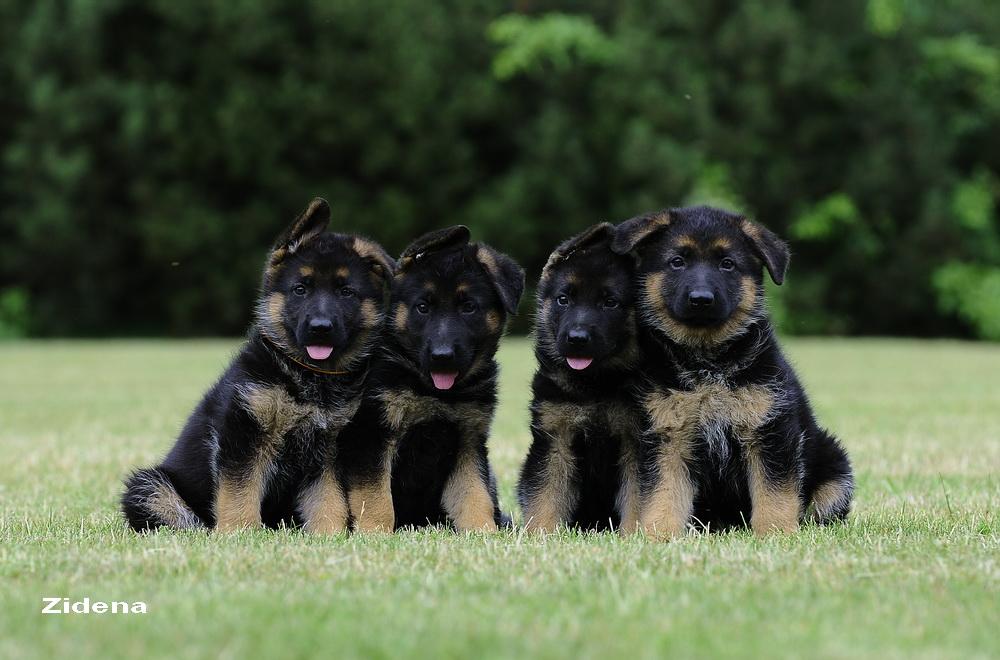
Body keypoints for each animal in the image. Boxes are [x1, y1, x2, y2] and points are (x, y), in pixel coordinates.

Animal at [121, 199, 394, 532]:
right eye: (300, 289)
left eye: (346, 292)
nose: (320, 328)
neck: (308, 375)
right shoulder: (243, 434)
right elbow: (240, 492)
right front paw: (239, 533)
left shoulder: (328, 450)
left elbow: (329, 502)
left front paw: (330, 535)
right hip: (151, 486)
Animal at [338, 223, 528, 532]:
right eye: (423, 307)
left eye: (468, 307)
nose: (442, 356)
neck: (434, 392)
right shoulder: (373, 435)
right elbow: (377, 498)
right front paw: (375, 533)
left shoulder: (468, 443)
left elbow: (475, 497)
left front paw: (484, 533)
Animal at [608, 205, 852, 536]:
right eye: (677, 262)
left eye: (727, 264)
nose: (701, 299)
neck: (706, 361)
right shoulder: (668, 435)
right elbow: (662, 494)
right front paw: (659, 536)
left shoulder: (769, 431)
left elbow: (774, 493)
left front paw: (775, 534)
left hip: (835, 469)